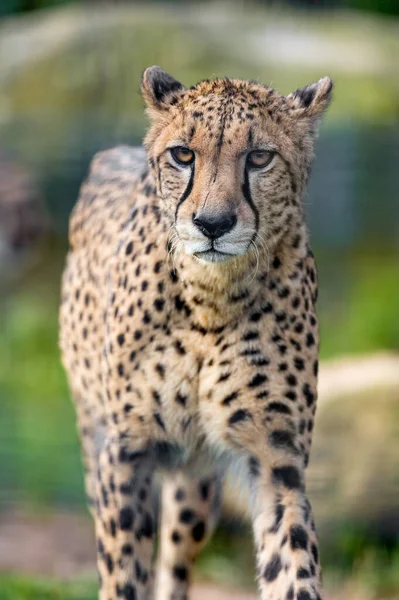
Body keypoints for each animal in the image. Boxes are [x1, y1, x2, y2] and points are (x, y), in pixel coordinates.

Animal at [59, 67, 332, 600]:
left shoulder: (275, 459)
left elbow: (292, 564)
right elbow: (123, 573)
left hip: (197, 483)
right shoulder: (126, 452)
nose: (212, 223)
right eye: (183, 155)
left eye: (260, 157)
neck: (211, 300)